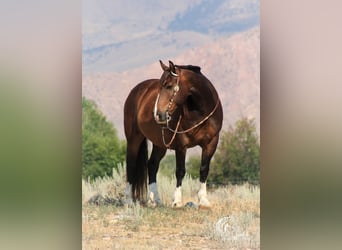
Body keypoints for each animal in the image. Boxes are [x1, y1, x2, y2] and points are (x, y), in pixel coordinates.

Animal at [124, 60, 223, 207]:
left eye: (169, 86)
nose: (157, 114)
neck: (200, 112)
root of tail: (136, 91)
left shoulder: (211, 143)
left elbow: (204, 169)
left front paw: (203, 200)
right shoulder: (181, 146)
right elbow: (180, 171)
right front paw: (177, 200)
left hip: (160, 144)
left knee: (152, 165)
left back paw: (155, 200)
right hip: (133, 139)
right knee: (131, 165)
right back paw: (129, 200)